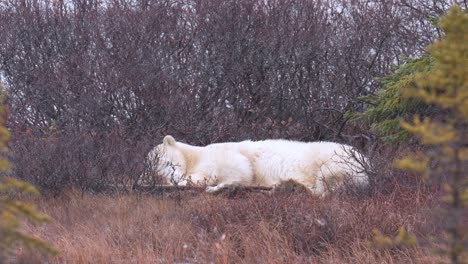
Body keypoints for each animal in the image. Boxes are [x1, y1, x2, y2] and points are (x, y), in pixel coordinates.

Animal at [149, 136, 370, 194]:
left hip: (334, 160)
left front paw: (210, 185)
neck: (194, 154)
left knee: (326, 181)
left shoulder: (221, 154)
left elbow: (239, 169)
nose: (172, 179)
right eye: (156, 171)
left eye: (169, 163)